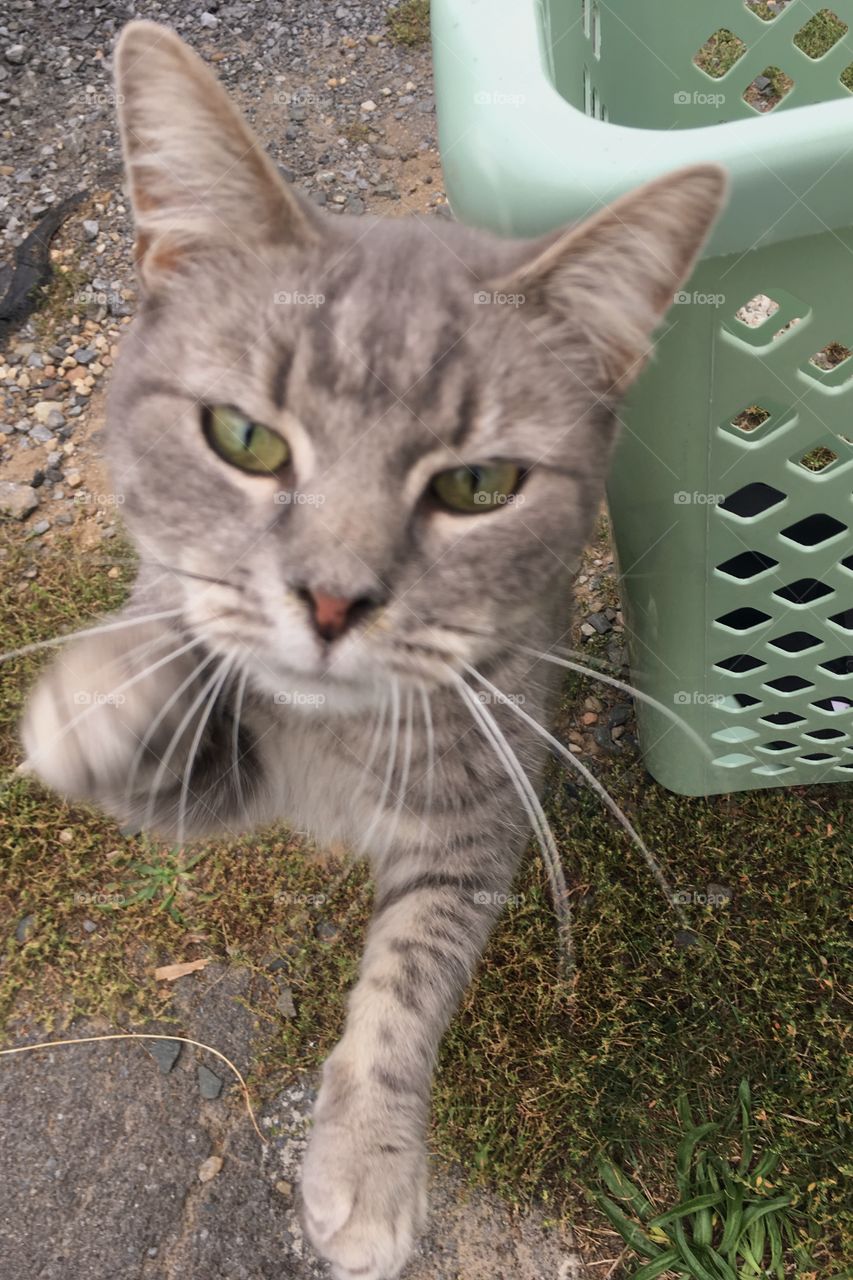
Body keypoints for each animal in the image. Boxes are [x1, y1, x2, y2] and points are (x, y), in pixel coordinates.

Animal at [19, 20, 722, 1280]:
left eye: (476, 484)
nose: (333, 597)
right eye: (243, 438)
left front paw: (368, 1169)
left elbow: (406, 982)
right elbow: (167, 681)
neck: (331, 745)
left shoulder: (479, 824)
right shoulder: (219, 787)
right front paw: (112, 677)